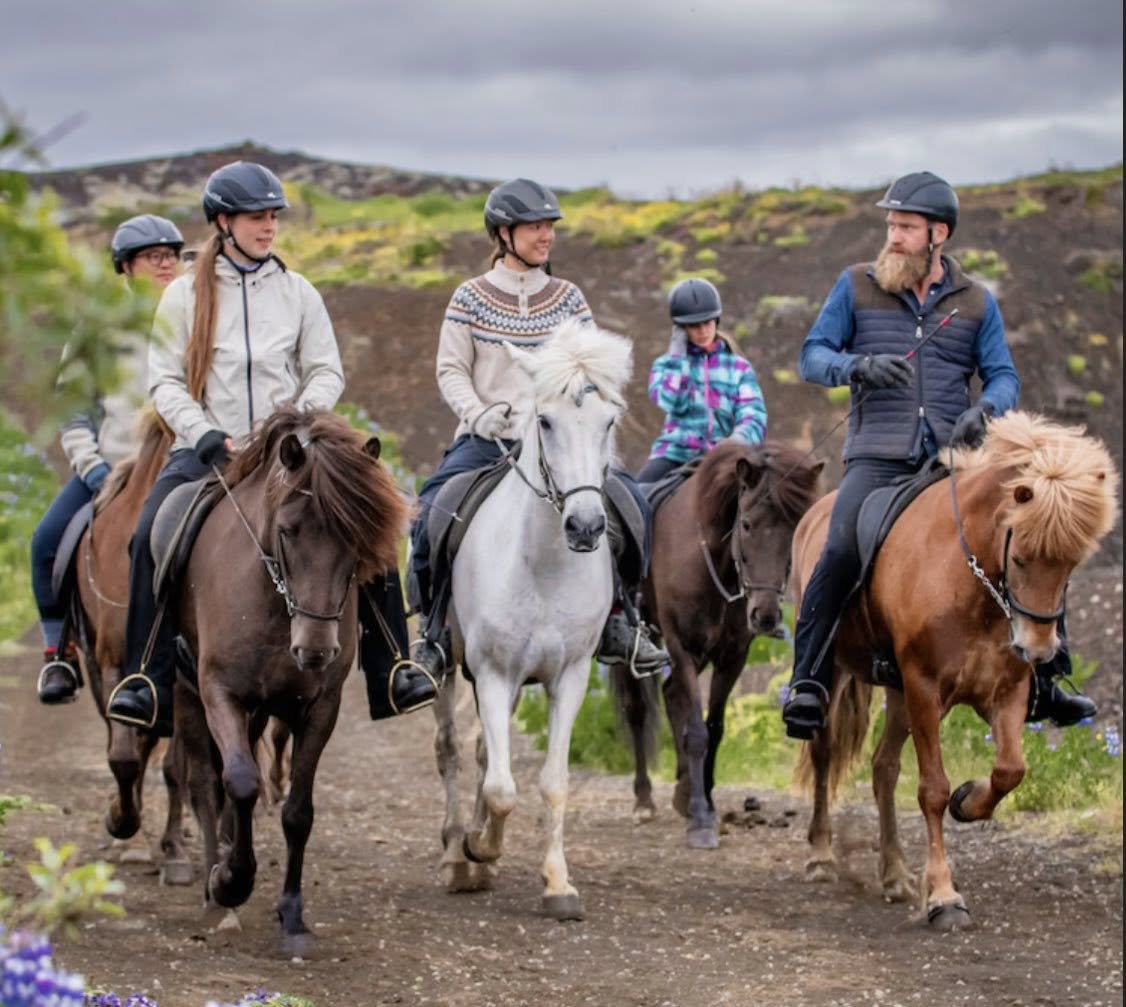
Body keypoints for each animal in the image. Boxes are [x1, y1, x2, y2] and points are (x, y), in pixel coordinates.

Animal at [167, 405, 405, 953]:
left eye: (355, 538)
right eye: (289, 530)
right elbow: (238, 781)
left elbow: (297, 812)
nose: (315, 650)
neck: (275, 602)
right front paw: (230, 882)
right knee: (206, 782)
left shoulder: (319, 708)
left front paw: (292, 917)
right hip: (186, 694)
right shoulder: (219, 692)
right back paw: (215, 886)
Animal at [433, 318, 632, 921]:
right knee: (452, 751)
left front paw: (558, 885)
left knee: (480, 753)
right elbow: (502, 789)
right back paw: (457, 856)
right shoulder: (493, 674)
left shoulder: (568, 676)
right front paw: (479, 848)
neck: (544, 564)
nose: (586, 527)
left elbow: (551, 783)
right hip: (449, 669)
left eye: (608, 421)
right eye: (545, 420)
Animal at [614, 441, 824, 848]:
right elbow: (696, 731)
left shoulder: (731, 656)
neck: (711, 563)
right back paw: (644, 800)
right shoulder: (681, 646)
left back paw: (681, 789)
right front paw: (699, 820)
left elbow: (713, 728)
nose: (765, 615)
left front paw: (703, 800)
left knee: (670, 694)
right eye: (746, 524)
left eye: (795, 527)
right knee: (637, 709)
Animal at [792, 411, 1118, 931]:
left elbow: (1009, 771)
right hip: (840, 673)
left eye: (1071, 565)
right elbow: (932, 790)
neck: (974, 586)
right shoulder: (925, 688)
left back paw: (895, 874)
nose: (1036, 650)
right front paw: (944, 897)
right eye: (1020, 556)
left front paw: (968, 802)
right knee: (824, 753)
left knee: (883, 768)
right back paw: (822, 856)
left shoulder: (1005, 691)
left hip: (898, 692)